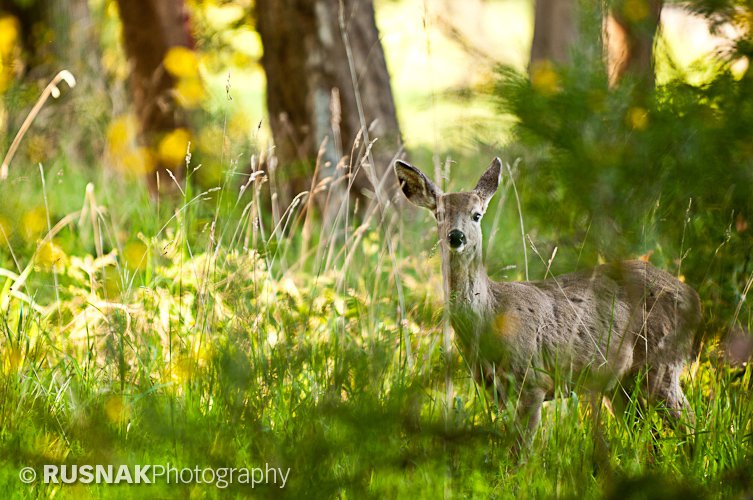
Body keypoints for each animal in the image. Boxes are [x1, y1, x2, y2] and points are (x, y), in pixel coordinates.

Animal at [394, 157, 700, 446]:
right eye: (439, 214)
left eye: (477, 215)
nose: (456, 236)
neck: (491, 316)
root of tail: (694, 297)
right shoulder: (495, 389)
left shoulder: (532, 381)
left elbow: (521, 453)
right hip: (620, 383)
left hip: (661, 363)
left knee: (689, 424)